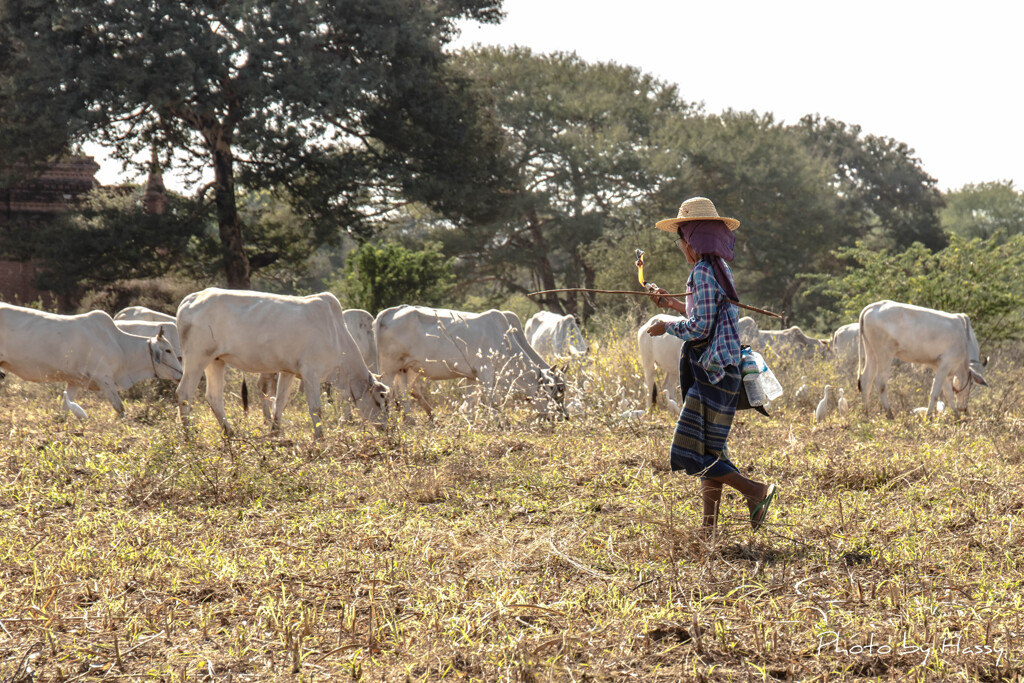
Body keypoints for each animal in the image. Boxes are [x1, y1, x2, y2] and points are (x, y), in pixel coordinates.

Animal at [0, 303, 180, 419]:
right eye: (168, 350)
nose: (181, 373)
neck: (119, 345)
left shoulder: (74, 381)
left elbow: (65, 410)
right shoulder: (104, 378)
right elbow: (120, 408)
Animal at [176, 288, 387, 438]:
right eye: (379, 401)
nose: (386, 429)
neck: (336, 333)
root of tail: (191, 298)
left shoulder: (288, 371)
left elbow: (280, 402)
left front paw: (276, 432)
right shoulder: (311, 372)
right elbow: (316, 408)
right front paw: (320, 437)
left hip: (215, 361)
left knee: (214, 397)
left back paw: (230, 433)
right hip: (196, 358)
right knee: (184, 394)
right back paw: (189, 437)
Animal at [376, 307, 569, 419]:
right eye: (556, 391)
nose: (564, 417)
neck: (503, 340)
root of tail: (387, 313)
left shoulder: (473, 377)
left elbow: (469, 405)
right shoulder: (486, 374)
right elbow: (494, 402)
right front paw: (502, 424)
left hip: (404, 369)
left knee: (402, 395)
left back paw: (412, 421)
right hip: (389, 368)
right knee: (386, 392)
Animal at [856, 301, 991, 419]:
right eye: (972, 383)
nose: (963, 408)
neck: (964, 338)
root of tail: (872, 307)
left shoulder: (939, 366)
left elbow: (948, 392)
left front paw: (956, 416)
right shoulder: (945, 364)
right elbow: (935, 393)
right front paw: (929, 417)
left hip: (871, 353)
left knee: (866, 380)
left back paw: (865, 414)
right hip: (884, 354)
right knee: (880, 382)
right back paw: (890, 415)